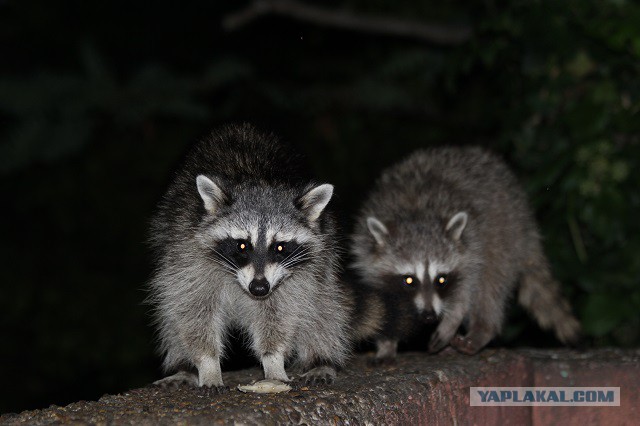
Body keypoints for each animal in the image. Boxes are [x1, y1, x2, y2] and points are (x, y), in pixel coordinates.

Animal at [146, 123, 350, 390]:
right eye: (242, 245)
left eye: (280, 248)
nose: (259, 288)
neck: (259, 180)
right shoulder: (187, 252)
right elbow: (193, 310)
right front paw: (207, 365)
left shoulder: (297, 277)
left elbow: (280, 312)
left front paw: (273, 361)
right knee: (172, 312)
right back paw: (184, 367)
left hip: (322, 265)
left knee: (322, 307)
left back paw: (321, 360)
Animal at [350, 146, 580, 360]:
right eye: (409, 280)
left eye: (441, 280)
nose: (429, 316)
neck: (416, 214)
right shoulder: (367, 258)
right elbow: (384, 305)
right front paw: (386, 343)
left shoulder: (472, 247)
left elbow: (467, 289)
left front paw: (452, 319)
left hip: (505, 231)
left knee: (492, 282)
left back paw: (483, 329)